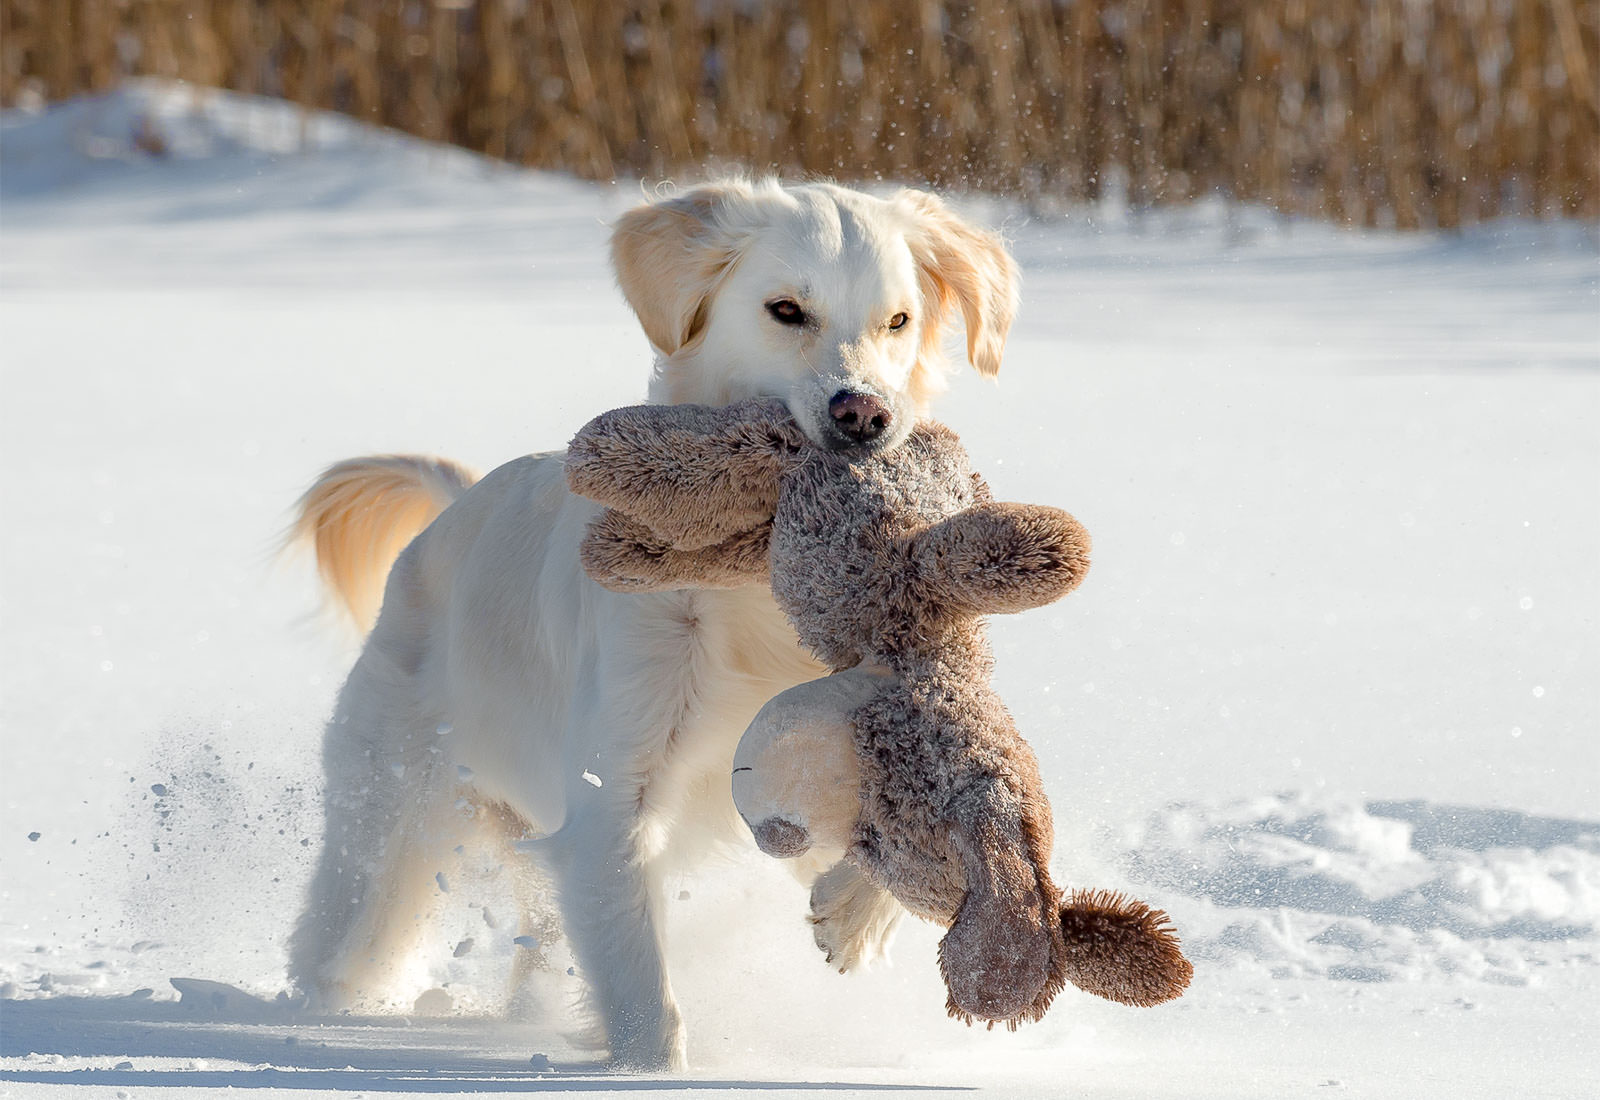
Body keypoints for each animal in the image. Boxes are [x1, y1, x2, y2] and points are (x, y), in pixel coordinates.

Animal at [288, 178, 1017, 1068]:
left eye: (899, 320)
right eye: (785, 309)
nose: (863, 414)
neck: (752, 590)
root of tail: (449, 514)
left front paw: (851, 918)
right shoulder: (615, 796)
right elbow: (642, 984)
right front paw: (653, 1070)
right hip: (388, 822)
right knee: (346, 935)